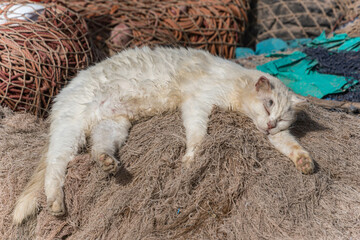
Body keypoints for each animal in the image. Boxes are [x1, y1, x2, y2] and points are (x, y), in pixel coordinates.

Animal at [12, 47, 314, 225]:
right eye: (268, 105)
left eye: (282, 118)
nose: (271, 123)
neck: (236, 82)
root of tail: (65, 90)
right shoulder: (197, 103)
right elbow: (197, 134)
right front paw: (192, 157)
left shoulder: (275, 133)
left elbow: (290, 144)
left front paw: (305, 162)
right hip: (71, 131)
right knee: (55, 166)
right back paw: (56, 201)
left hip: (114, 126)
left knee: (98, 148)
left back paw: (107, 162)